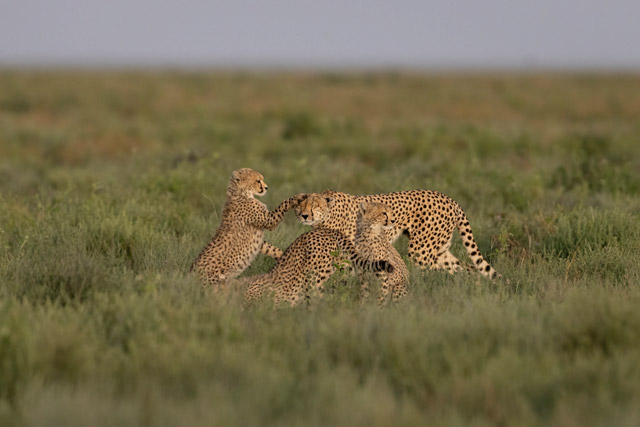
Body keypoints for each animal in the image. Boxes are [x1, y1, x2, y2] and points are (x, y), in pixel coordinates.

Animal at [294, 189, 500, 279]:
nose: (304, 215)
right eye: (299, 206)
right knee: (467, 268)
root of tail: (449, 198)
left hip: (421, 250)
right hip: (440, 250)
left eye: (314, 206)